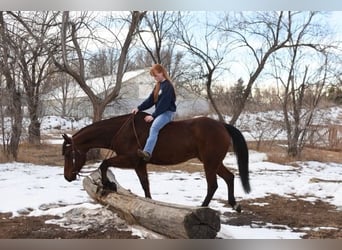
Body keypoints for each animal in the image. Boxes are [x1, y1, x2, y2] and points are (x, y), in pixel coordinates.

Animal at [61, 111, 250, 211]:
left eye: (68, 154)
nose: (67, 177)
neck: (123, 131)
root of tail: (222, 125)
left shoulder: (129, 160)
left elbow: (104, 164)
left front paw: (109, 185)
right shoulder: (139, 165)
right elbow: (145, 186)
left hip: (210, 163)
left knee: (213, 185)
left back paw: (201, 208)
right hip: (214, 162)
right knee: (229, 177)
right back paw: (234, 205)